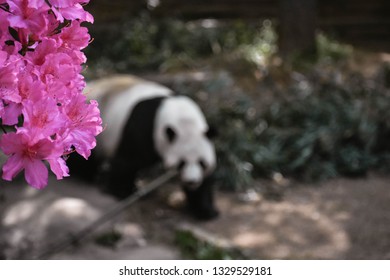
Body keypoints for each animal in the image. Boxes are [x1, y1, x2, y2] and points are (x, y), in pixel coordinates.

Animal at [69, 75, 219, 220]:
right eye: (181, 163)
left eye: (202, 162)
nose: (192, 181)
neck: (181, 118)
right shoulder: (144, 128)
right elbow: (127, 160)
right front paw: (122, 191)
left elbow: (206, 181)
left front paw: (207, 211)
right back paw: (88, 176)